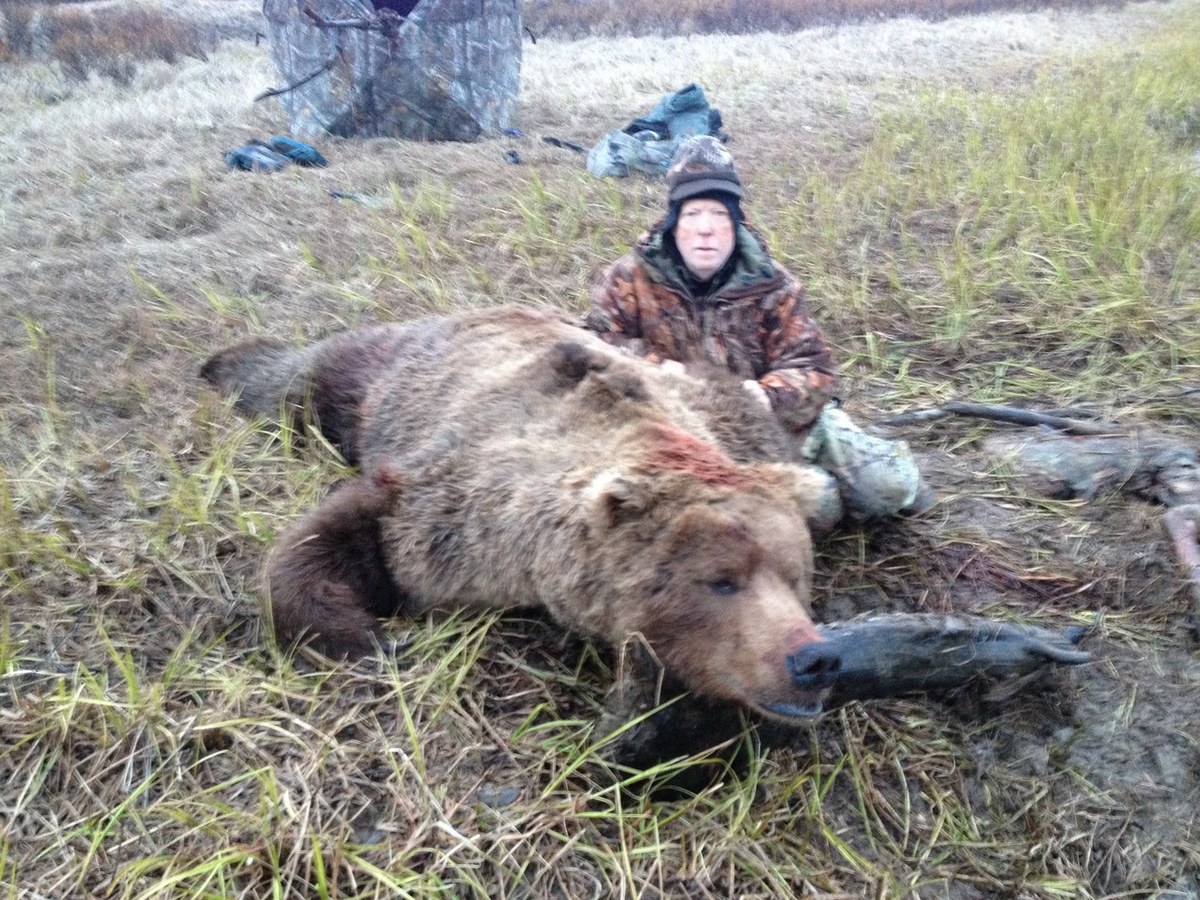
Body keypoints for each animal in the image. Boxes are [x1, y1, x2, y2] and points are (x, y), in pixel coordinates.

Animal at [204, 307, 844, 724]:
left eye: (795, 576)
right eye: (721, 581)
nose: (813, 660)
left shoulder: (732, 422)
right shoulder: (456, 508)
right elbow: (337, 535)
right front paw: (367, 638)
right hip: (375, 375)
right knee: (297, 383)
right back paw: (223, 363)